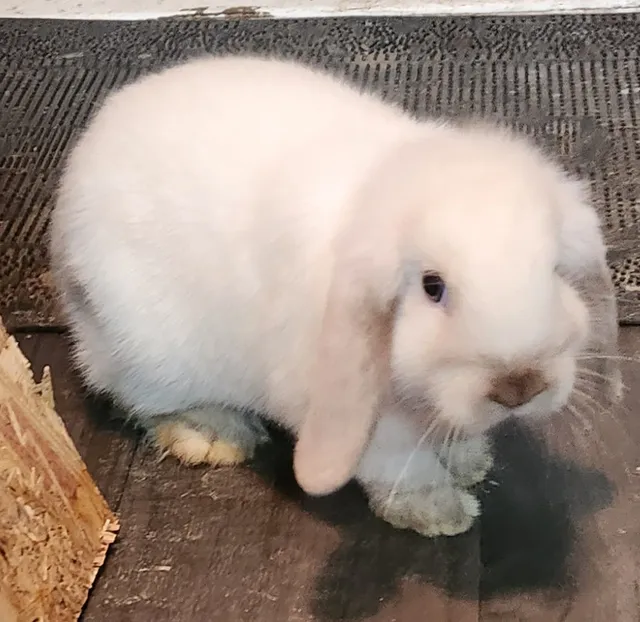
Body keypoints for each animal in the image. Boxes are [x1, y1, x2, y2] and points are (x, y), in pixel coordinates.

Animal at [49, 55, 621, 538]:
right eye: (432, 287)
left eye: (554, 271)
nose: (519, 387)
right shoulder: (361, 417)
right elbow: (399, 466)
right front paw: (439, 511)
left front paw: (469, 459)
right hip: (150, 351)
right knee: (132, 395)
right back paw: (211, 434)